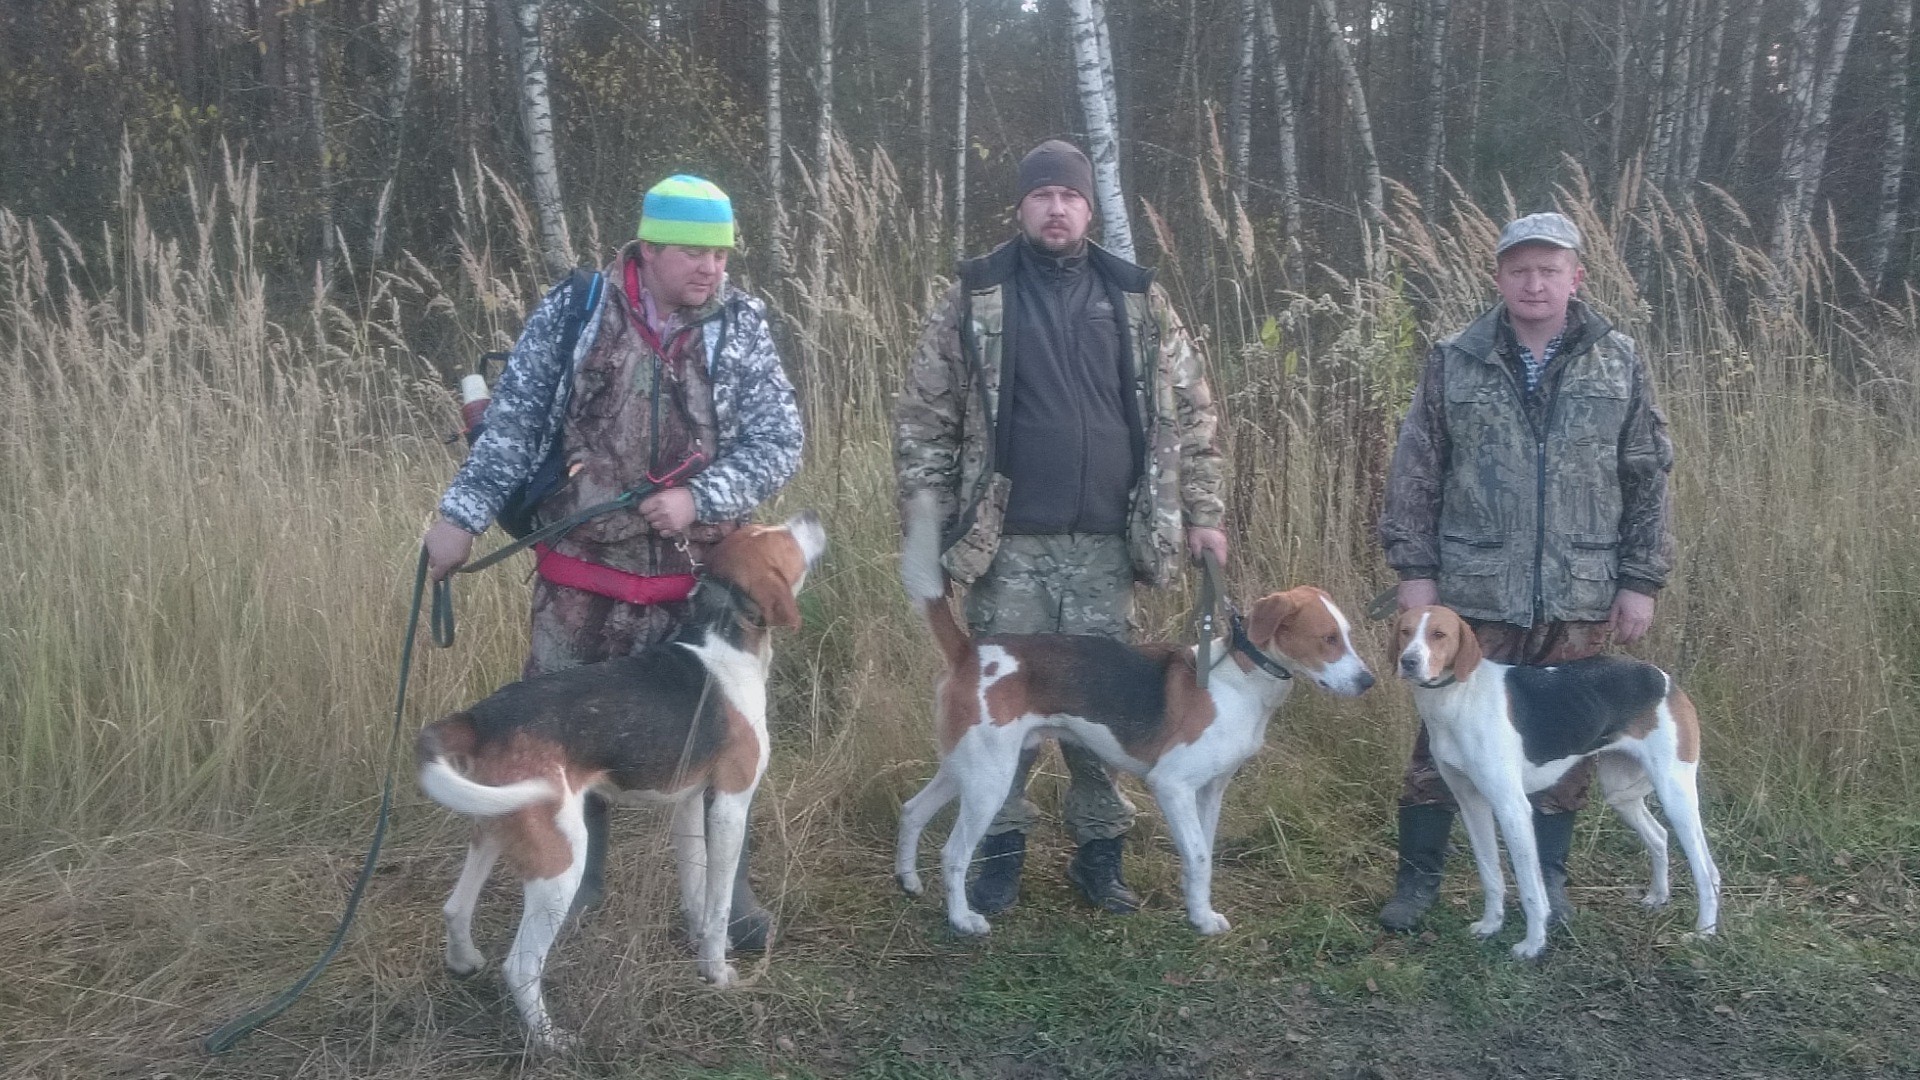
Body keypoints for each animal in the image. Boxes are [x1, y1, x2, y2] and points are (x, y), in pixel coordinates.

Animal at [416, 511, 821, 1045]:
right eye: (778, 538)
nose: (810, 516)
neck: (724, 633)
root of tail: (484, 716)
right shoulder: (730, 803)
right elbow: (717, 904)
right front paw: (717, 971)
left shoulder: (688, 802)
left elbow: (695, 887)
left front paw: (696, 949)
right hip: (560, 856)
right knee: (520, 965)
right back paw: (549, 1040)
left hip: (494, 823)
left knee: (455, 908)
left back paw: (463, 962)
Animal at [890, 491, 1374, 930]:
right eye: (1328, 639)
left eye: (1346, 635)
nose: (1368, 681)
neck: (1242, 680)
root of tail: (970, 651)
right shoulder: (1173, 784)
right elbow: (1199, 855)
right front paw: (1202, 921)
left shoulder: (1210, 790)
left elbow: (1202, 855)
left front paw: (1198, 910)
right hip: (990, 778)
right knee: (954, 853)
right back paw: (962, 919)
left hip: (966, 766)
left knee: (912, 810)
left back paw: (908, 881)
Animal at [1390, 599, 1720, 953]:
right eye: (1405, 631)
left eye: (1439, 634)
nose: (1408, 662)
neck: (1459, 699)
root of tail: (1663, 678)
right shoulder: (1471, 804)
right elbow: (1490, 874)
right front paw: (1490, 925)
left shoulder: (1512, 809)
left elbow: (1530, 888)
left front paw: (1533, 944)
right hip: (1620, 792)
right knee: (1659, 836)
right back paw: (1658, 896)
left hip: (1675, 793)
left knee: (1706, 870)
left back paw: (1704, 931)